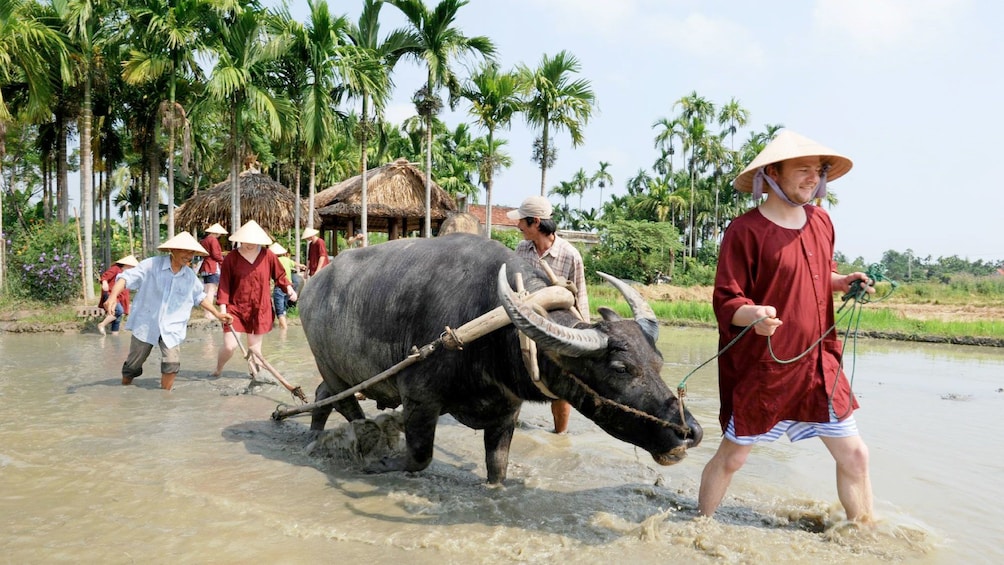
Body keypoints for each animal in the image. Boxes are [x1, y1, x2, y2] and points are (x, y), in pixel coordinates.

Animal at [301, 231, 702, 483]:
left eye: (658, 362)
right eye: (621, 368)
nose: (689, 433)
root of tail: (311, 286)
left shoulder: (507, 411)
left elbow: (498, 468)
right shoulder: (419, 398)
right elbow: (418, 458)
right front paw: (381, 462)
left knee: (322, 396)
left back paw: (313, 436)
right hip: (332, 367)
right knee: (348, 409)